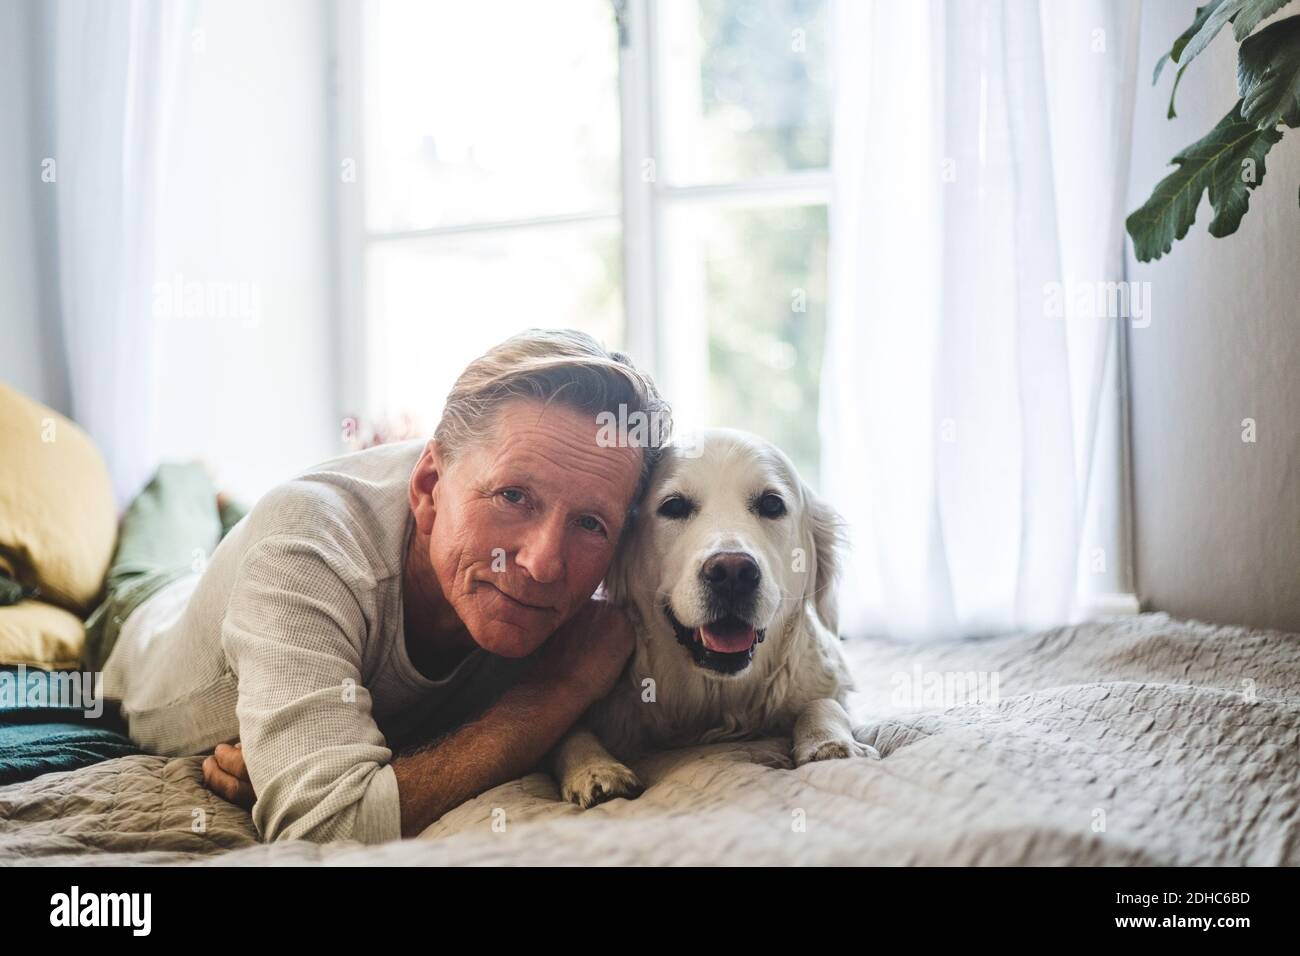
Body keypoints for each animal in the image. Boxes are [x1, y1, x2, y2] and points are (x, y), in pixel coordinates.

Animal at [553, 429, 878, 806]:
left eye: (772, 504)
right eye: (674, 506)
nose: (732, 573)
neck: (716, 697)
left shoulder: (826, 679)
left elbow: (824, 704)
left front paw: (829, 741)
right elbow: (569, 731)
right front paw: (594, 768)